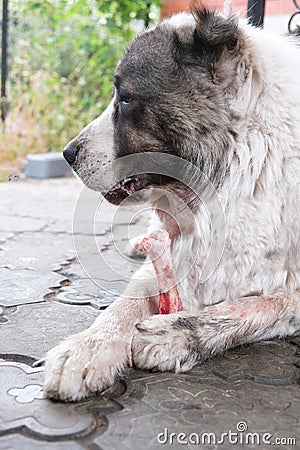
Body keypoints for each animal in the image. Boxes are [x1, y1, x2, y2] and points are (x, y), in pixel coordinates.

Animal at [44, 6, 300, 400]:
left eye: (126, 99)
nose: (67, 154)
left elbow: (257, 305)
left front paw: (175, 332)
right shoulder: (171, 257)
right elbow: (126, 301)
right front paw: (89, 345)